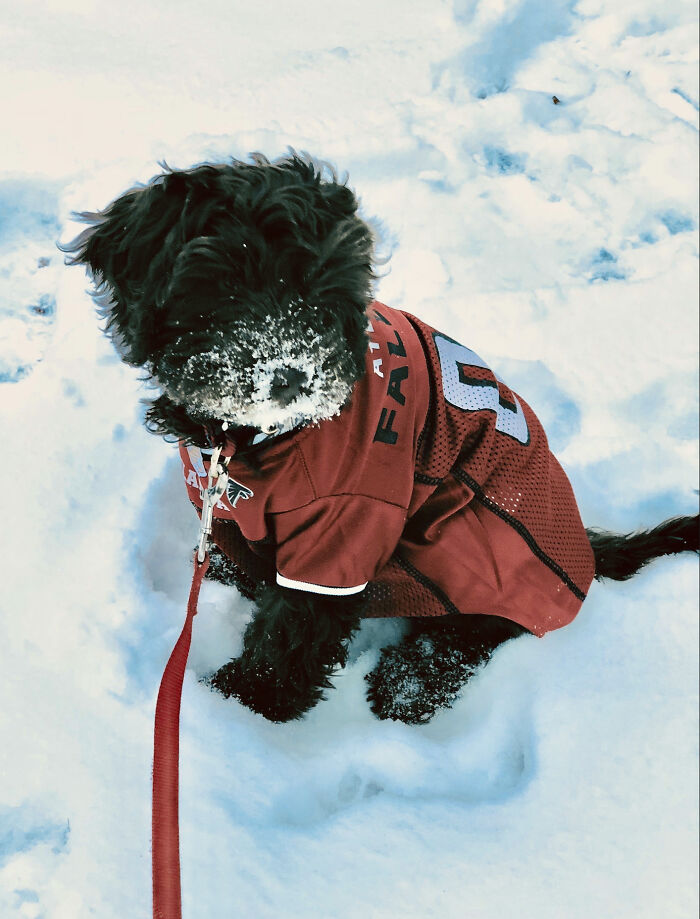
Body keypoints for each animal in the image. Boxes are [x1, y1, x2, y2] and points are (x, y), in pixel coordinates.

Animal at [63, 153, 696, 724]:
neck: (255, 437)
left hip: (469, 536)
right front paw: (230, 579)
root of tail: (583, 546)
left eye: (320, 293)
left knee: (479, 628)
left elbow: (297, 622)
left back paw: (411, 683)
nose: (291, 375)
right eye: (228, 282)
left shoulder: (347, 524)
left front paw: (246, 703)